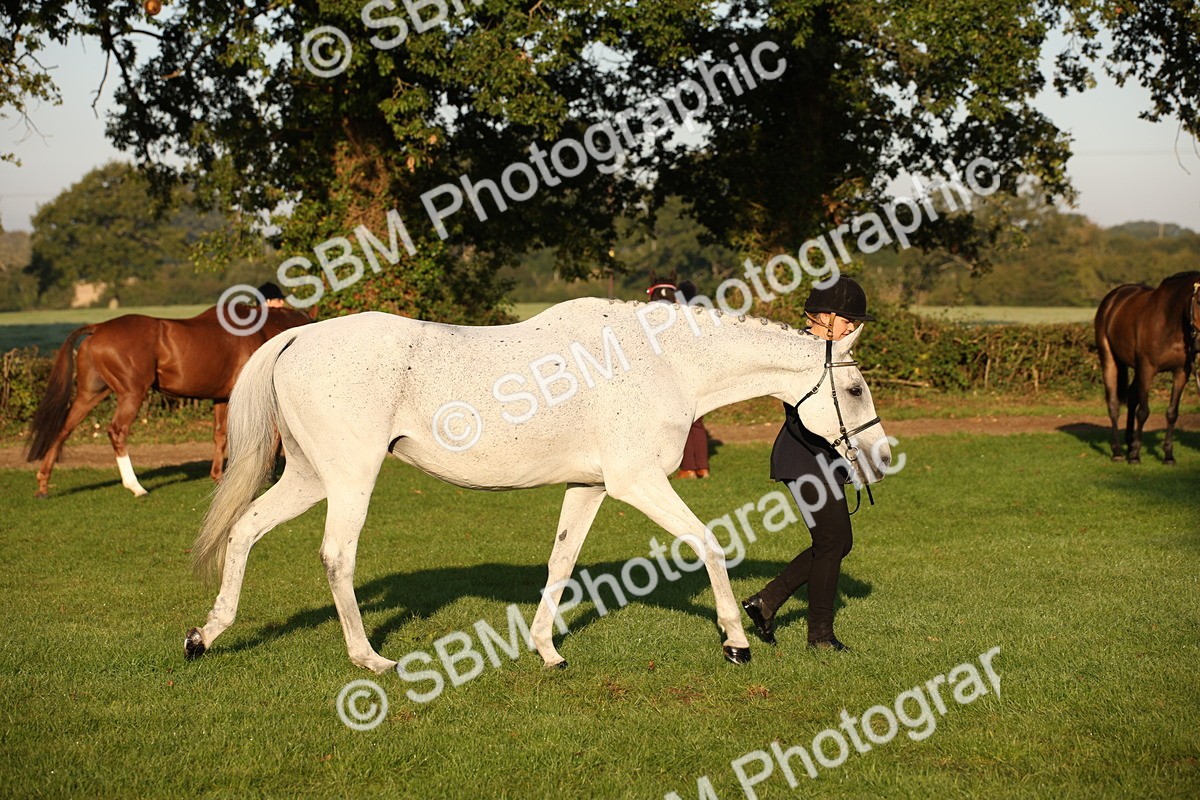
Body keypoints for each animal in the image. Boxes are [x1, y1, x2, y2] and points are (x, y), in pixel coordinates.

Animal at [25, 303, 312, 497]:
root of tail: (99, 328)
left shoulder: (221, 398)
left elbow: (221, 436)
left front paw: (219, 476)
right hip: (131, 394)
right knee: (116, 431)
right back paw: (136, 486)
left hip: (90, 394)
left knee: (63, 429)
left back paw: (43, 483)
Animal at [184, 297, 890, 672]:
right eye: (855, 389)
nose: (881, 457)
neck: (660, 363)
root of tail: (298, 337)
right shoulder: (637, 483)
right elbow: (709, 545)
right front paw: (736, 641)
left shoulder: (589, 487)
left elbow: (561, 563)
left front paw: (547, 650)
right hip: (350, 477)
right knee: (336, 557)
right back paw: (370, 660)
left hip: (310, 476)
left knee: (244, 531)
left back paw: (204, 636)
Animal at [1094, 271, 1200, 464]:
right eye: (1199, 301)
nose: (1199, 343)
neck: (1168, 322)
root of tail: (1113, 297)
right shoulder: (1147, 369)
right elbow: (1143, 411)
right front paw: (1136, 455)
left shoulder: (1182, 372)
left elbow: (1172, 412)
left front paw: (1168, 455)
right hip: (1109, 359)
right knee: (1113, 404)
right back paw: (1118, 452)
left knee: (1131, 396)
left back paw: (1129, 443)